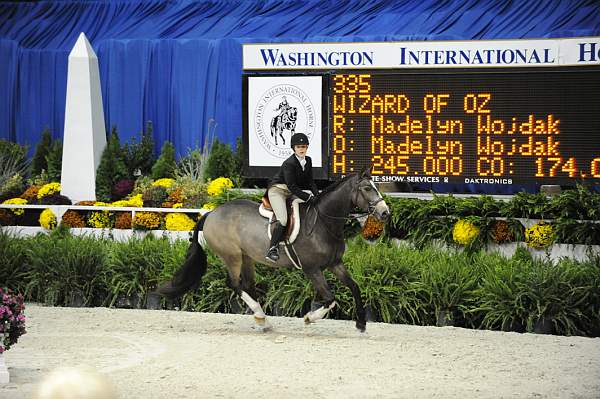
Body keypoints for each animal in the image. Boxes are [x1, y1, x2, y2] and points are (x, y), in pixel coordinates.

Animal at [158, 167, 390, 332]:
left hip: (246, 257)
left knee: (248, 285)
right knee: (234, 284)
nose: (385, 212)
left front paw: (361, 324)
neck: (324, 222)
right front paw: (309, 318)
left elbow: (355, 287)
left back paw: (262, 321)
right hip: (232, 256)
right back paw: (261, 317)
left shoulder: (335, 263)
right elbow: (330, 299)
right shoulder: (312, 269)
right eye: (367, 188)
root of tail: (211, 213)